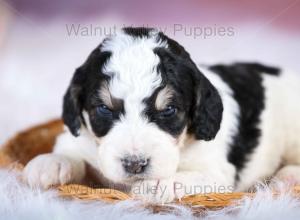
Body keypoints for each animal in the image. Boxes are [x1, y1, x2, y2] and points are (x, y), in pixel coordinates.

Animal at [24, 26, 300, 202]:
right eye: (104, 109)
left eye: (168, 110)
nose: (135, 164)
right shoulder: (79, 140)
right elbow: (71, 153)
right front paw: (50, 163)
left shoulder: (217, 173)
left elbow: (185, 177)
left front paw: (155, 185)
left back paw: (285, 179)